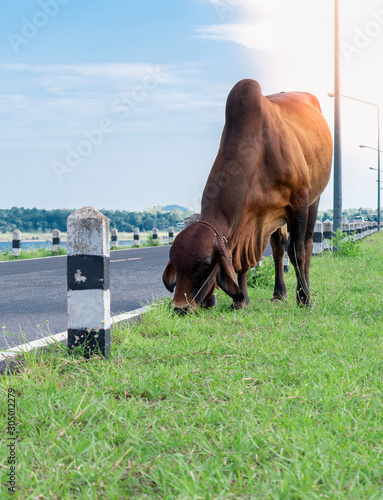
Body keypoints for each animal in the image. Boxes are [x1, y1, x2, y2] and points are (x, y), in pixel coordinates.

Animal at [162, 78, 332, 310]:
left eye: (205, 265)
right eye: (176, 264)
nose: (180, 308)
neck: (260, 151)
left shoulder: (298, 202)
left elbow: (297, 252)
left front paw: (305, 299)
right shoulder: (248, 222)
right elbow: (240, 261)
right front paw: (240, 302)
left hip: (313, 200)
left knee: (305, 244)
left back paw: (303, 292)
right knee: (278, 248)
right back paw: (279, 293)